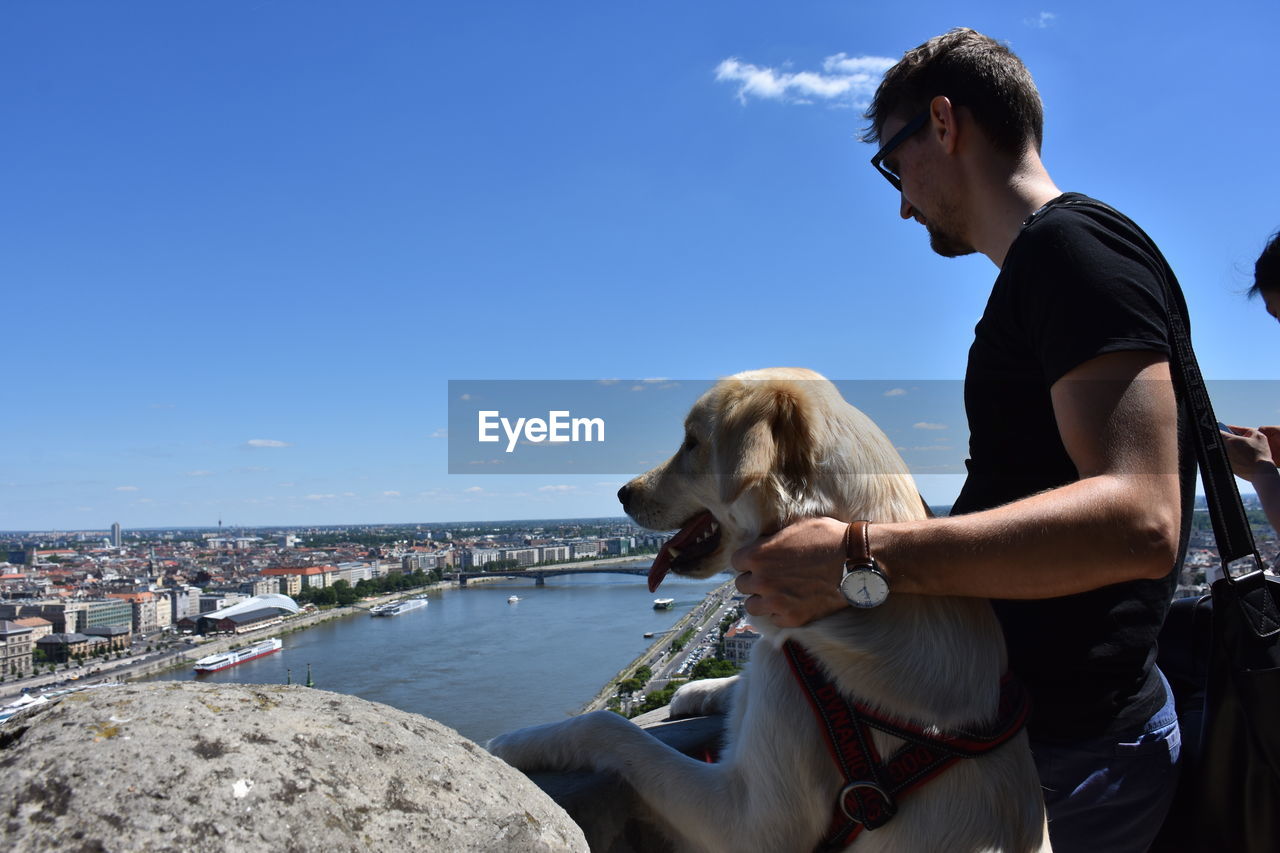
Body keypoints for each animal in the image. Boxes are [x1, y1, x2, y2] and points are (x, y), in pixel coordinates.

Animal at [488, 366, 1049, 850]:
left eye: (692, 442)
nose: (623, 492)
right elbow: (739, 682)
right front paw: (701, 690)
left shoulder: (751, 825)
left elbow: (609, 727)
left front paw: (518, 742)